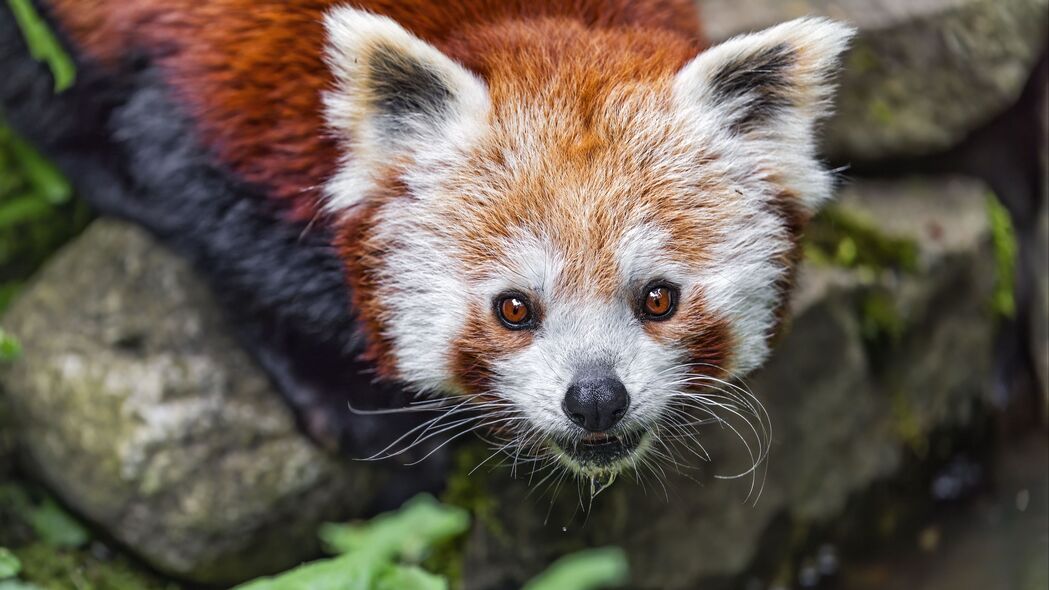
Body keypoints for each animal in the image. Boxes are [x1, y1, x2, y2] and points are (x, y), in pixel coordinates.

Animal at [2, 1, 851, 478]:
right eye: (513, 308)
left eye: (658, 298)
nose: (594, 398)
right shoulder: (229, 104)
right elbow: (214, 222)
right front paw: (342, 394)